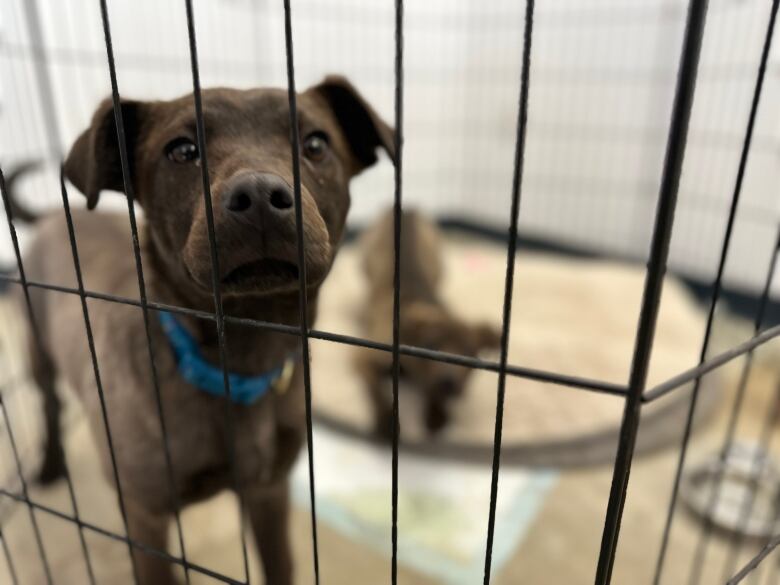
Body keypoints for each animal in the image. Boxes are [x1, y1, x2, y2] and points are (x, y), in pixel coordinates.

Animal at [9, 75, 394, 580]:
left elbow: (280, 565)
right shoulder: (145, 517)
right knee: (50, 405)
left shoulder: (269, 492)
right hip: (38, 351)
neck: (239, 360)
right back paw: (52, 464)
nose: (259, 198)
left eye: (316, 143)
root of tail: (56, 215)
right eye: (182, 150)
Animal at [354, 209, 500, 438]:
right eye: (430, 346)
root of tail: (407, 209)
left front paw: (436, 413)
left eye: (471, 354)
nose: (448, 384)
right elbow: (376, 391)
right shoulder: (362, 359)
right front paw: (386, 421)